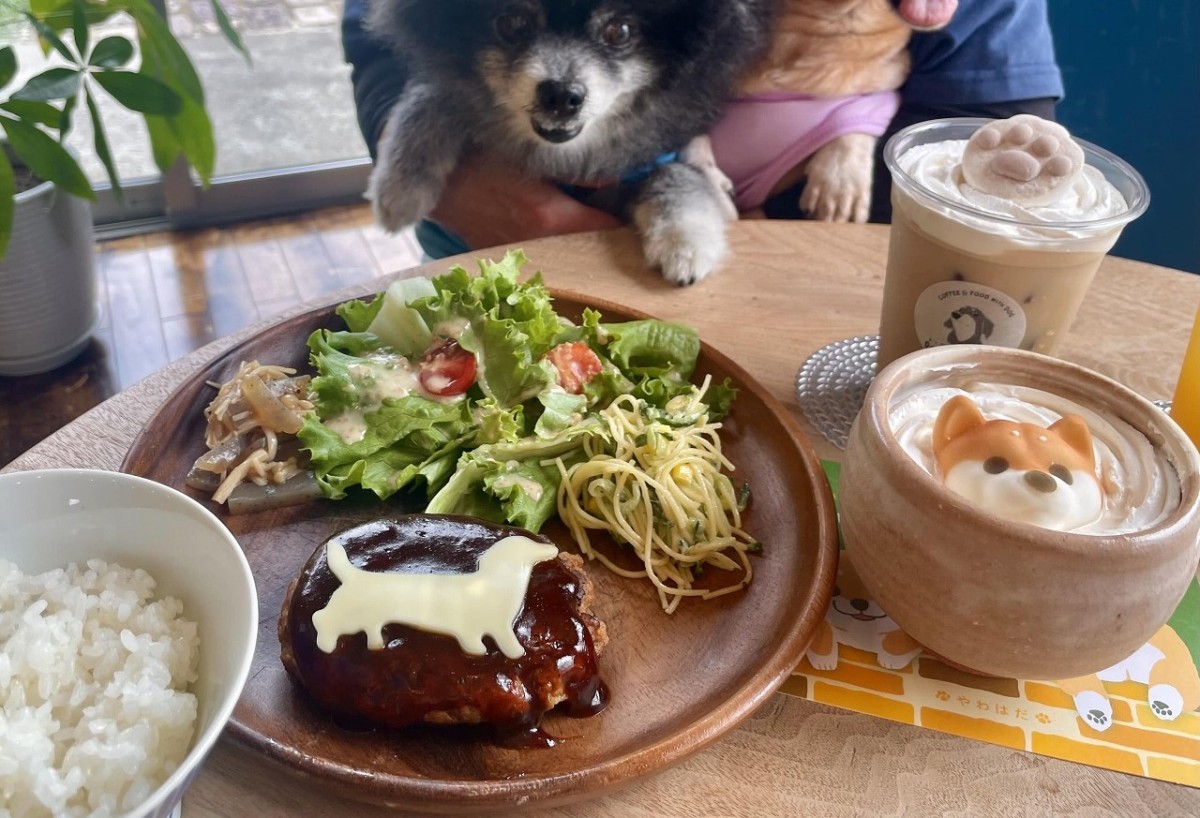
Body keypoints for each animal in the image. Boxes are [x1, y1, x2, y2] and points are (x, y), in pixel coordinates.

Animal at [367, 0, 777, 285]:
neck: (565, 154)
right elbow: (432, 96)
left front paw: (685, 244)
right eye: (513, 23)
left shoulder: (661, 152)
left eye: (619, 31)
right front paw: (399, 189)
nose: (561, 94)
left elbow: (677, 178)